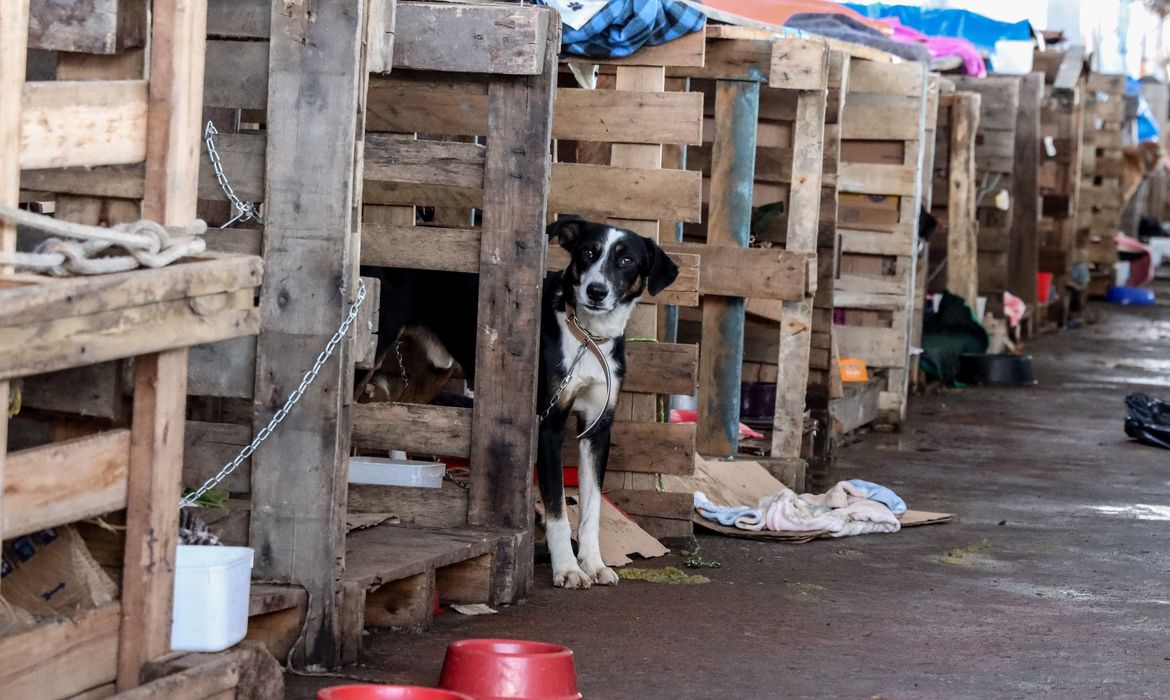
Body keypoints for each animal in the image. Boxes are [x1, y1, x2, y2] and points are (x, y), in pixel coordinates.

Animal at [362, 216, 678, 589]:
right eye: (588, 252)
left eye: (626, 260)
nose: (596, 291)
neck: (587, 338)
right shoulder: (548, 425)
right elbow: (557, 509)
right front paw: (567, 569)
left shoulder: (597, 428)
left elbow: (592, 510)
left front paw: (593, 563)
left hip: (434, 370)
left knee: (399, 413)